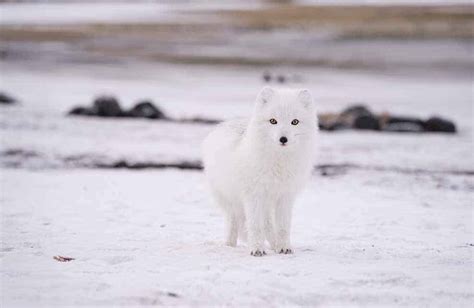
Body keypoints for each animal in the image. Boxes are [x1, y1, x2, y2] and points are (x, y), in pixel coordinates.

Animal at [201, 86, 316, 255]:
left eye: (294, 122)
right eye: (273, 121)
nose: (283, 139)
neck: (278, 163)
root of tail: (225, 123)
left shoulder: (285, 196)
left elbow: (283, 227)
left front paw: (284, 247)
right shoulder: (253, 195)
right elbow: (255, 226)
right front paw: (256, 249)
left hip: (266, 203)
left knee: (268, 225)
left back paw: (274, 245)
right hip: (229, 200)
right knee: (233, 223)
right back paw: (229, 245)